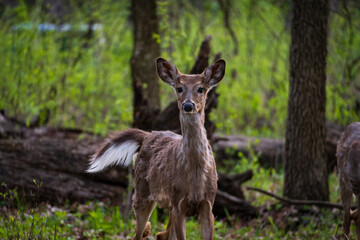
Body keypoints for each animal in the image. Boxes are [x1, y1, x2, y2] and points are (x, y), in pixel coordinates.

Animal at [87, 57, 225, 239]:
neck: (195, 171)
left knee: (162, 234)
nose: (188, 105)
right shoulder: (178, 202)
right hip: (142, 193)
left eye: (201, 88)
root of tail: (146, 135)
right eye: (179, 88)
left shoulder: (208, 204)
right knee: (139, 233)